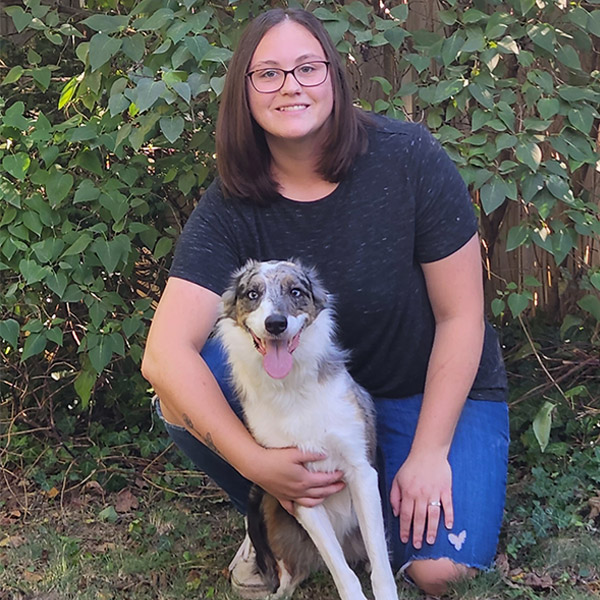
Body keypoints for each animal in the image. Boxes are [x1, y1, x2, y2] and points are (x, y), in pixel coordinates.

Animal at [217, 262, 398, 600]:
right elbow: (342, 572)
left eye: (296, 292)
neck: (291, 390)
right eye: (252, 294)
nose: (276, 323)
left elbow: (380, 564)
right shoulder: (298, 489)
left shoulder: (362, 474)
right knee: (291, 571)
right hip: (268, 504)